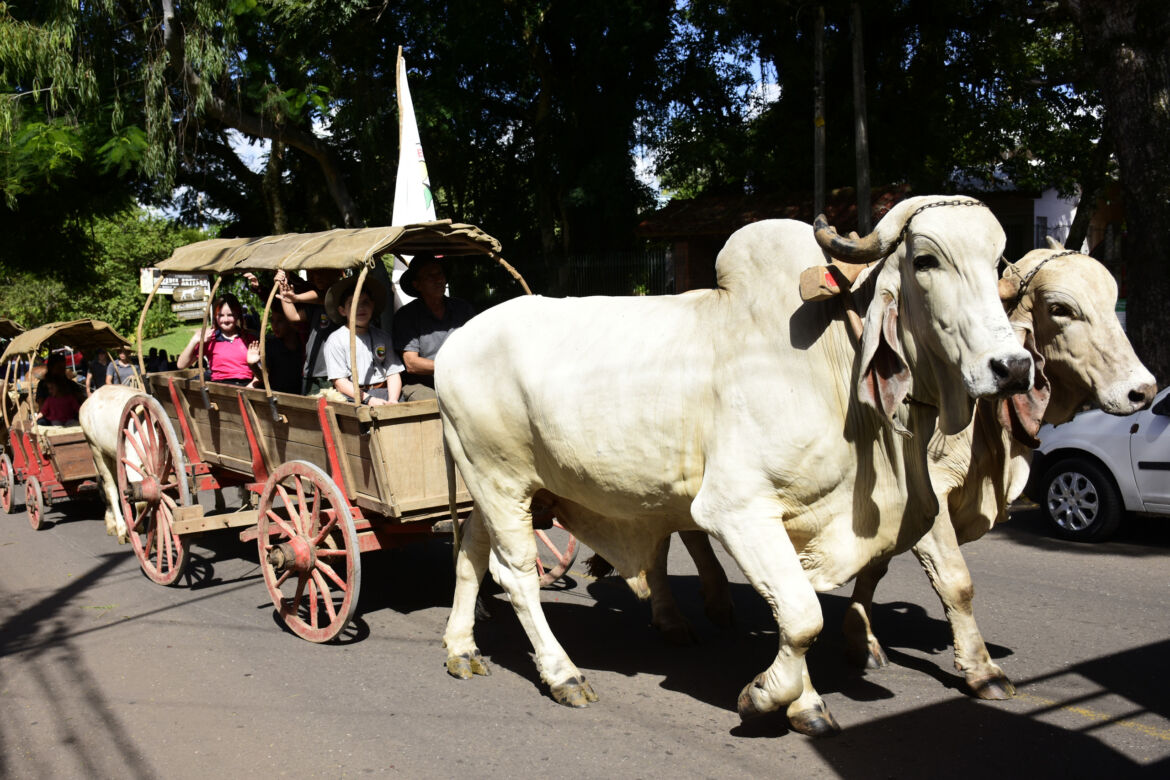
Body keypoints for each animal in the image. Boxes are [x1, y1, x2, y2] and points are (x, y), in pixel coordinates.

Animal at [436, 195, 1034, 737]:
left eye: (997, 260)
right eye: (926, 260)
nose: (1012, 367)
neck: (833, 368)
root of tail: (456, 341)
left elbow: (802, 612)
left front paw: (805, 704)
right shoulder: (735, 510)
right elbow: (802, 616)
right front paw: (766, 696)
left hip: (496, 487)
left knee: (469, 551)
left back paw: (461, 648)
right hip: (500, 480)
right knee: (515, 576)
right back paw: (562, 675)